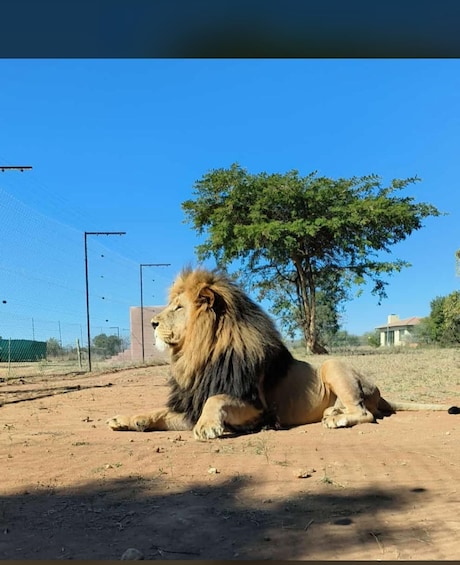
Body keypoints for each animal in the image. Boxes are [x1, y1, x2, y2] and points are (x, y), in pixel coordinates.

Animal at [107, 266, 456, 438]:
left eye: (178, 308)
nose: (151, 322)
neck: (200, 355)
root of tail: (379, 390)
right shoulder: (189, 402)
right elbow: (158, 411)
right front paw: (127, 419)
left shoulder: (256, 408)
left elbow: (215, 399)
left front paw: (208, 427)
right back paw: (333, 413)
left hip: (332, 364)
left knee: (366, 413)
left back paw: (337, 420)